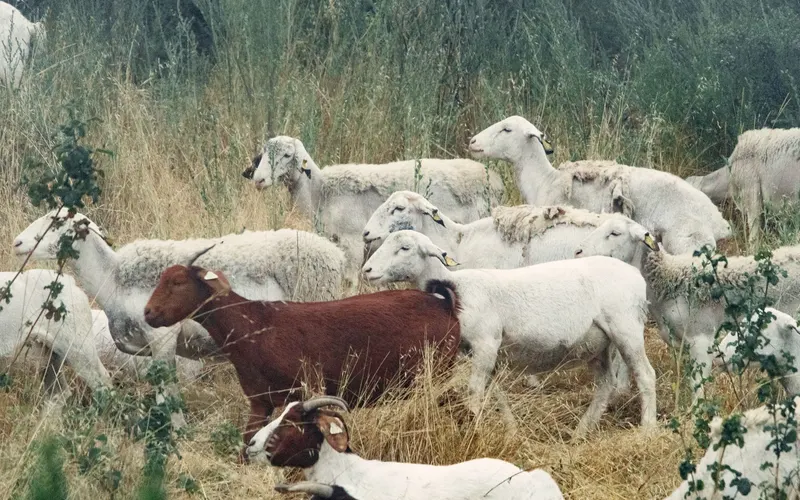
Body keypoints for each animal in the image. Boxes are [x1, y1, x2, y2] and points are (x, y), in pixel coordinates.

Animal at [142, 261, 460, 445]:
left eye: (177, 282)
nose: (148, 313)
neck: (255, 324)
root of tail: (444, 304)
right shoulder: (260, 401)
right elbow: (247, 442)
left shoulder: (307, 391)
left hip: (435, 376)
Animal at [247, 135, 505, 285]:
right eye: (263, 154)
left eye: (287, 155)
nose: (258, 180)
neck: (320, 192)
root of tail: (495, 179)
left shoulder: (352, 242)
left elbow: (350, 281)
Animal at [361, 230, 656, 436]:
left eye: (405, 248)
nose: (367, 270)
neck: (456, 287)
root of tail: (635, 274)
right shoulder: (480, 352)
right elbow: (497, 394)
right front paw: (511, 429)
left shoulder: (486, 343)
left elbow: (475, 391)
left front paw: (474, 427)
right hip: (598, 342)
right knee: (605, 384)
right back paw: (581, 431)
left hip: (626, 328)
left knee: (646, 375)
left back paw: (646, 430)